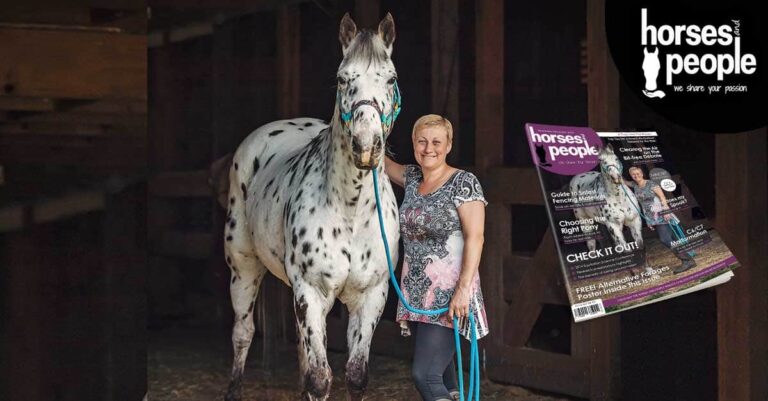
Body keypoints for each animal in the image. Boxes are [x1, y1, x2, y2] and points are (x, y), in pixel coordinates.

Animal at [223, 13, 401, 401]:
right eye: (342, 78)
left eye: (391, 78)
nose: (366, 145)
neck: (351, 211)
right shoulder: (312, 291)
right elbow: (321, 378)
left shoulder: (371, 296)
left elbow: (355, 374)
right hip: (243, 267)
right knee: (243, 333)